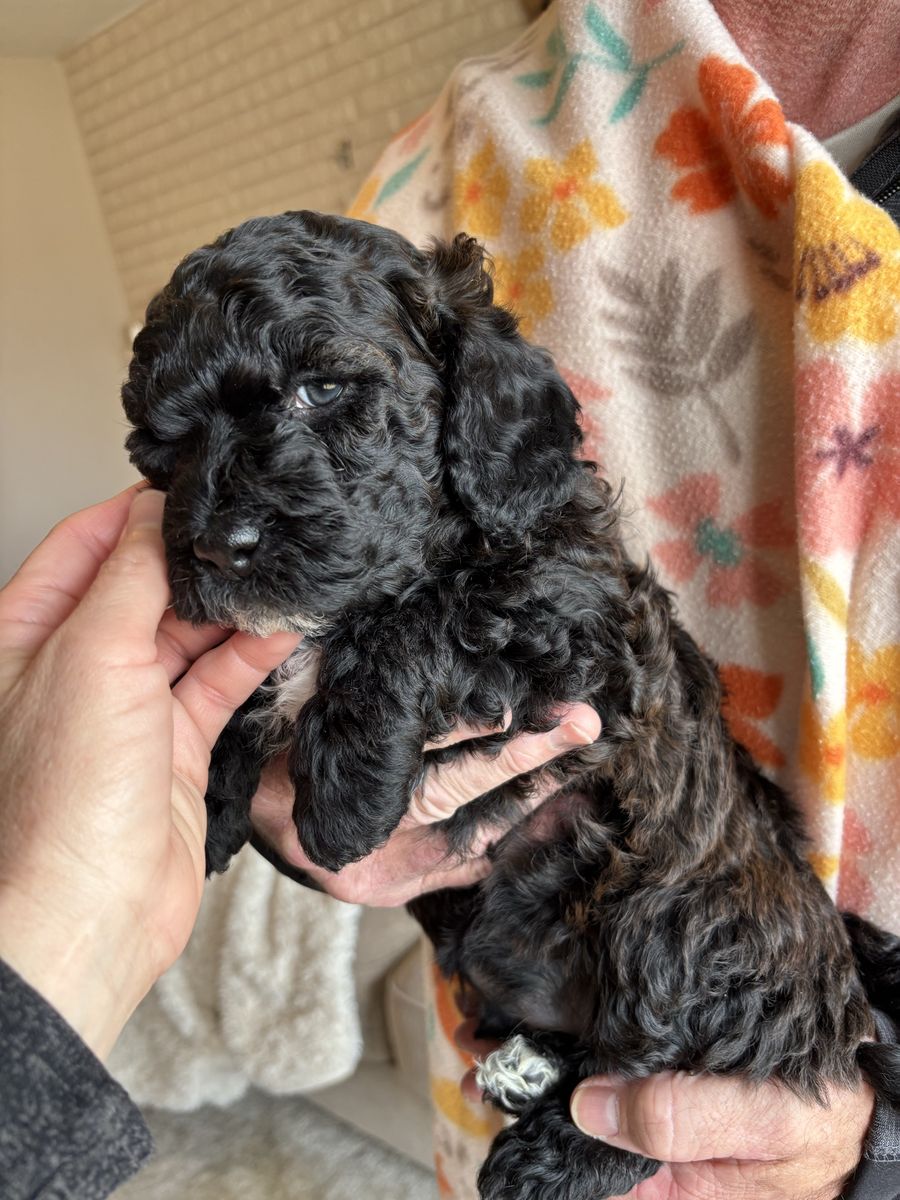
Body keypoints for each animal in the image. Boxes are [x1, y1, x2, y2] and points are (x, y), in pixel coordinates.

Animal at [123, 210, 900, 1200]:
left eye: (321, 388)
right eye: (162, 441)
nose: (219, 548)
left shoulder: (576, 625)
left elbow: (421, 617)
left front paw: (342, 795)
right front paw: (212, 792)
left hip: (675, 913)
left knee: (662, 1072)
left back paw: (548, 1158)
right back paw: (529, 1070)